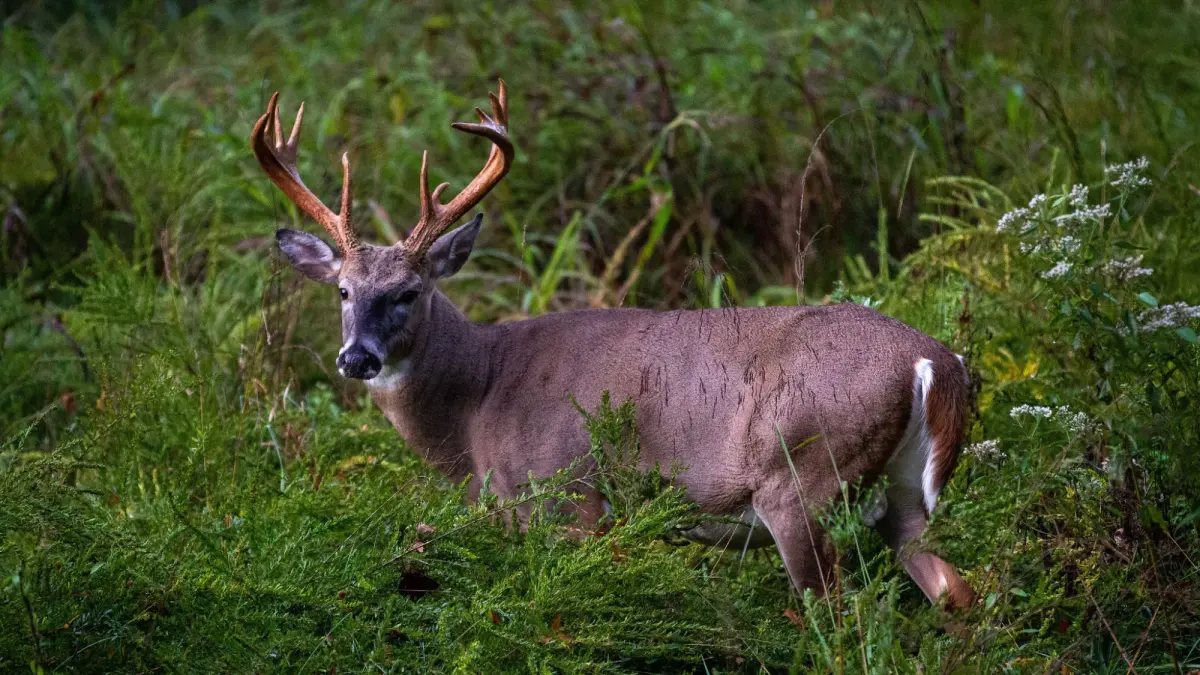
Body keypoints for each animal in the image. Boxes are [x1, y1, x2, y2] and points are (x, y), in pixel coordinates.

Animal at [250, 80, 975, 610]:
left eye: (408, 292)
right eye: (343, 290)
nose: (357, 358)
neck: (479, 401)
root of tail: (935, 362)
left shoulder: (567, 496)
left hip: (803, 478)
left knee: (840, 607)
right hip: (904, 494)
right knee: (955, 591)